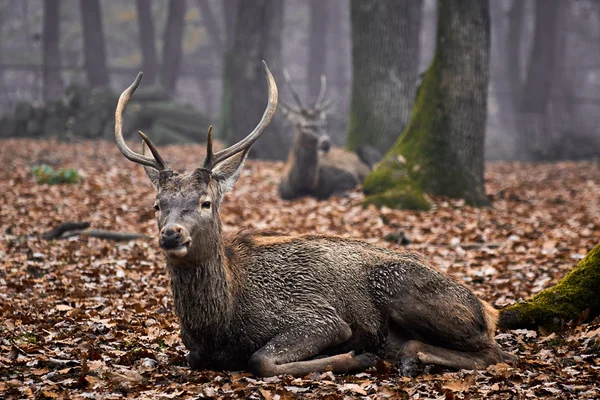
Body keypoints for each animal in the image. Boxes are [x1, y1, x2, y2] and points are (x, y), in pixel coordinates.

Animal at [278, 71, 380, 200]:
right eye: (305, 126)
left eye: (324, 123)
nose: (326, 142)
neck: (307, 185)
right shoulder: (283, 188)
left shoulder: (347, 175)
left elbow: (339, 191)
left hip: (368, 150)